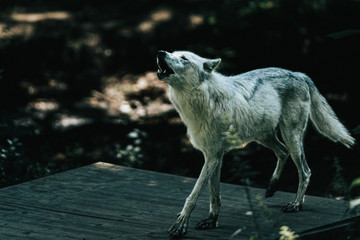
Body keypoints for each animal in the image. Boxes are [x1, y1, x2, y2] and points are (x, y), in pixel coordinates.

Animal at [155, 49, 354, 238]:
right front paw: (211, 221)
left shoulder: (212, 158)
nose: (160, 52)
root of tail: (299, 74)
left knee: (305, 171)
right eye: (171, 52)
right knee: (282, 152)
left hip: (292, 139)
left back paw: (296, 204)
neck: (203, 100)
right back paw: (272, 187)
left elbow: (193, 196)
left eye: (183, 58)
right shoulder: (214, 157)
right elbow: (214, 195)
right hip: (265, 137)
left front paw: (180, 226)